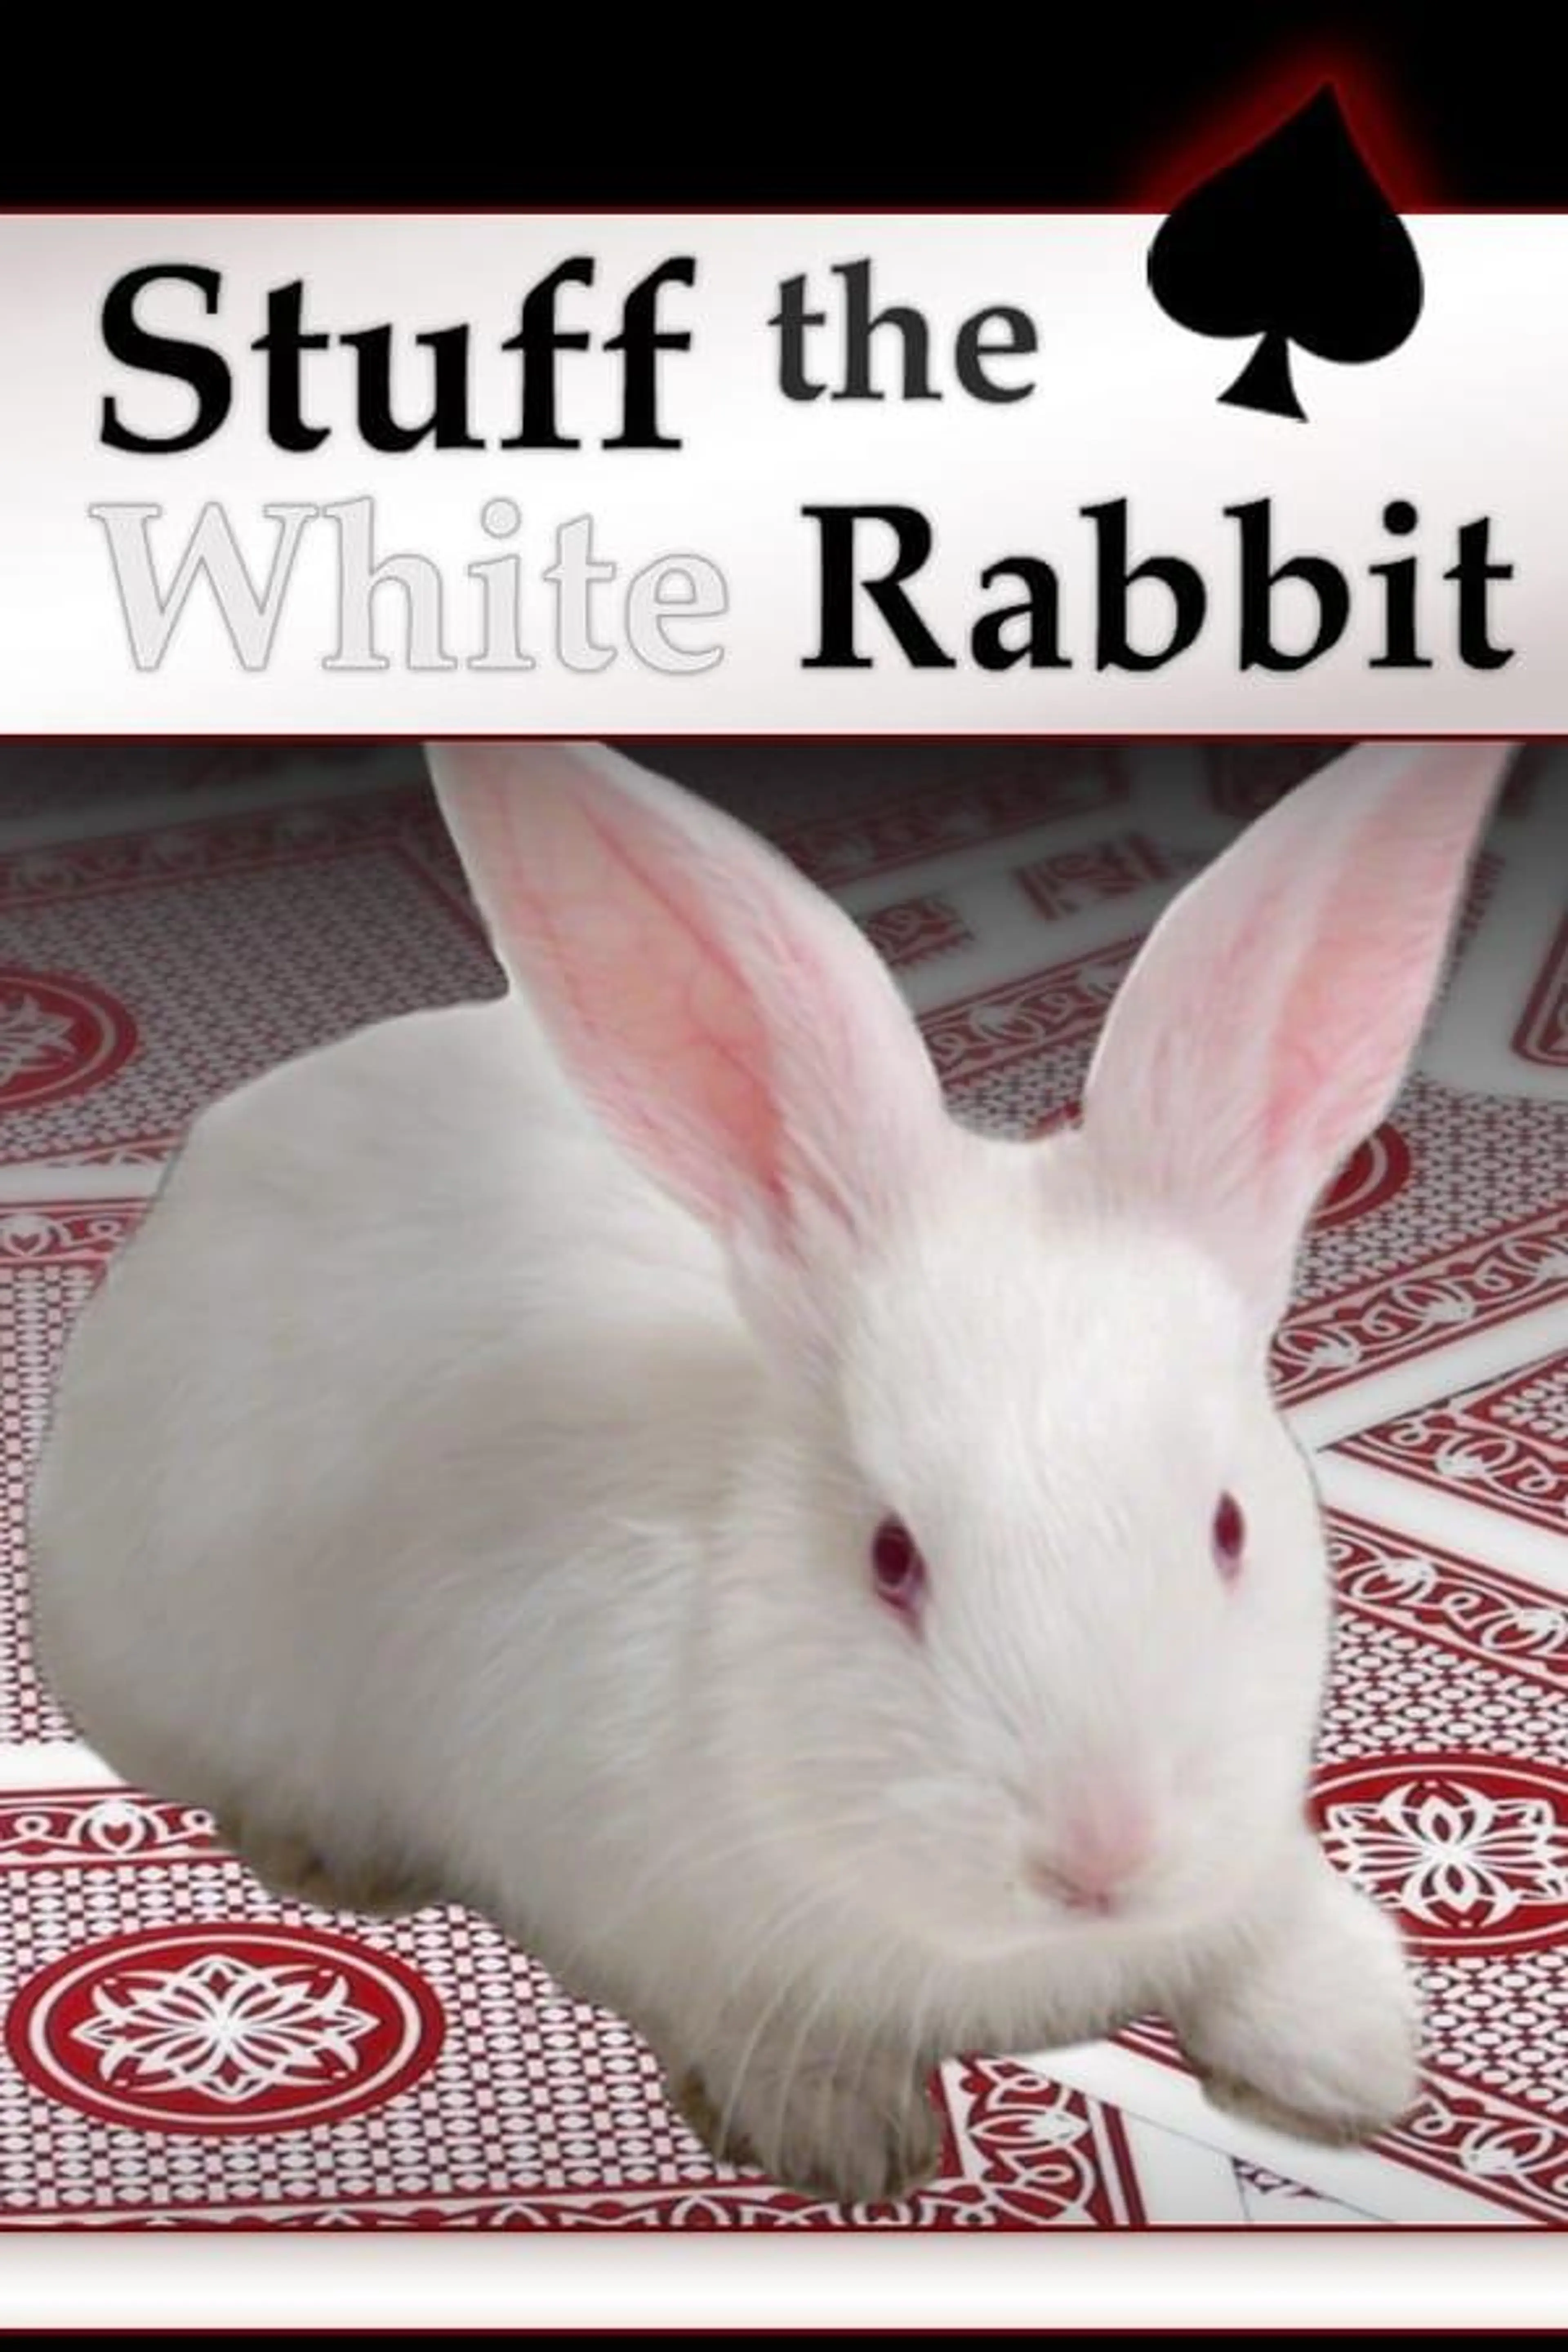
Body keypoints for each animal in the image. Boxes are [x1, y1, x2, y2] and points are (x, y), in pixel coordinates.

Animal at [29, 737, 1510, 2205]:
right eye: (890, 1558)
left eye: (1228, 1527)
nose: (1102, 1859)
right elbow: (747, 2018)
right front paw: (846, 2131)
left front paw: (1347, 2059)